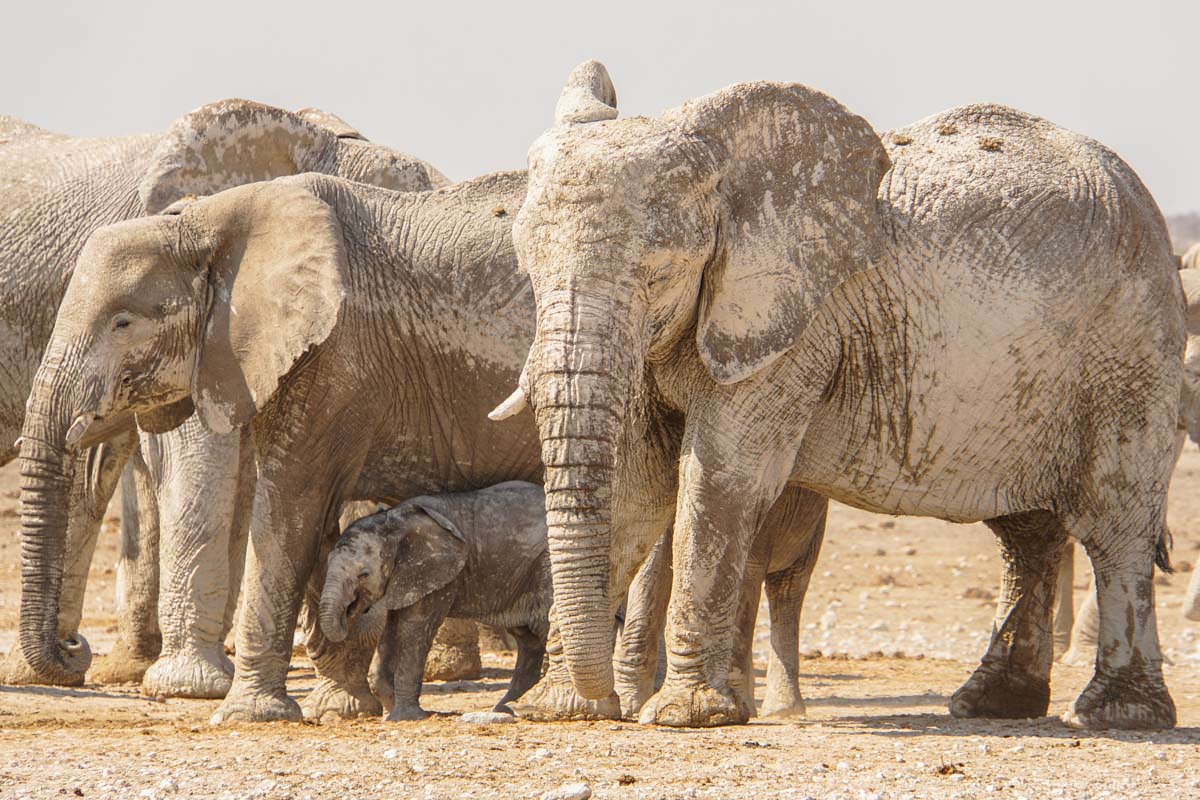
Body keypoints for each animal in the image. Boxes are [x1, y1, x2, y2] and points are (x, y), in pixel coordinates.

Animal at [316, 484, 547, 724]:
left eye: (364, 574)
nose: (349, 612)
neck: (393, 520)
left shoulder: (436, 573)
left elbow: (414, 629)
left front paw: (406, 717)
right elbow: (391, 629)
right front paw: (391, 711)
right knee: (529, 639)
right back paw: (506, 708)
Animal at [494, 61, 1180, 734]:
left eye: (659, 271)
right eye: (525, 268)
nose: (598, 701)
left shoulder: (800, 321)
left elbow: (718, 479)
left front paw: (684, 716)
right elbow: (638, 486)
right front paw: (562, 708)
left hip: (1132, 351)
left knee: (1116, 522)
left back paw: (1117, 715)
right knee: (1027, 535)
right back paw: (994, 704)